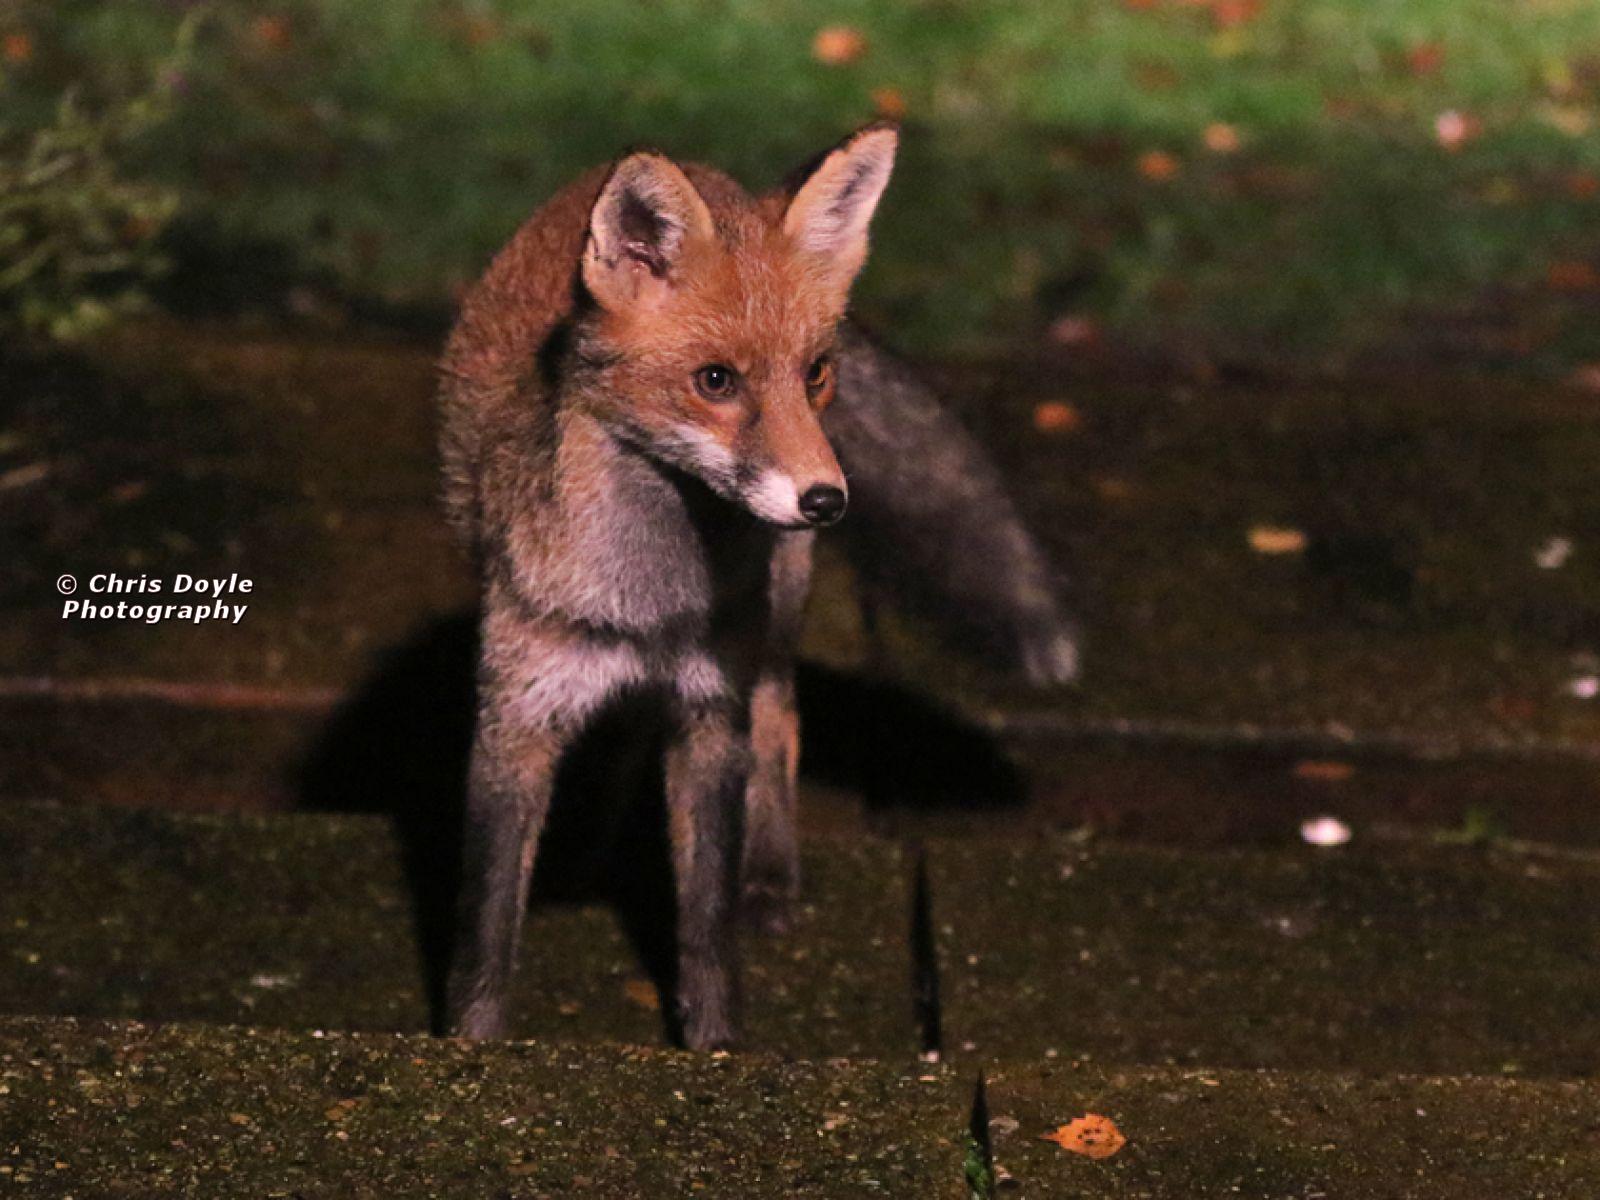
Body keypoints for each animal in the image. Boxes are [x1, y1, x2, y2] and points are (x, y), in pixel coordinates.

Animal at [438, 117, 1075, 1049]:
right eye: (716, 380)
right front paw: (470, 1046)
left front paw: (716, 1049)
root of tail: (714, 173)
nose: (826, 501)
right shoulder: (516, 718)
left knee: (779, 717)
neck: (651, 602)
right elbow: (484, 934)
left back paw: (770, 878)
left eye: (814, 373)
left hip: (770, 627)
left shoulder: (711, 715)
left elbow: (706, 930)